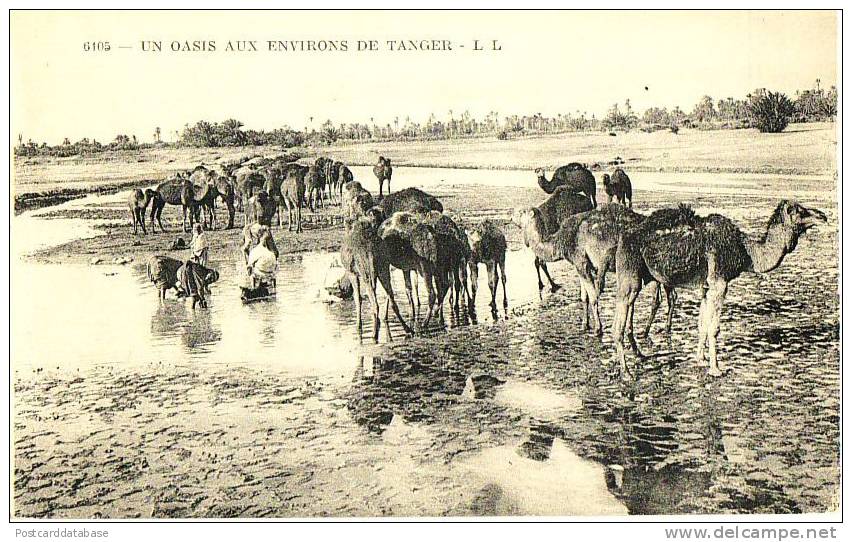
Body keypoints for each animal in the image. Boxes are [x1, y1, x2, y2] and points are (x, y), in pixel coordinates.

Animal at [342, 210, 416, 342]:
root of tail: (371, 252)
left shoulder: (352, 272)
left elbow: (357, 298)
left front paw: (358, 326)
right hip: (383, 268)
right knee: (391, 298)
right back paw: (408, 330)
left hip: (367, 273)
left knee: (375, 303)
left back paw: (374, 335)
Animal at [612, 200, 824, 378]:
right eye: (800, 211)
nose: (823, 215)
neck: (746, 252)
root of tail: (624, 237)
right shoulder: (719, 283)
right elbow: (714, 328)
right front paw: (715, 369)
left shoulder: (706, 287)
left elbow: (703, 325)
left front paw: (700, 359)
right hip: (630, 275)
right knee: (618, 325)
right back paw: (626, 372)